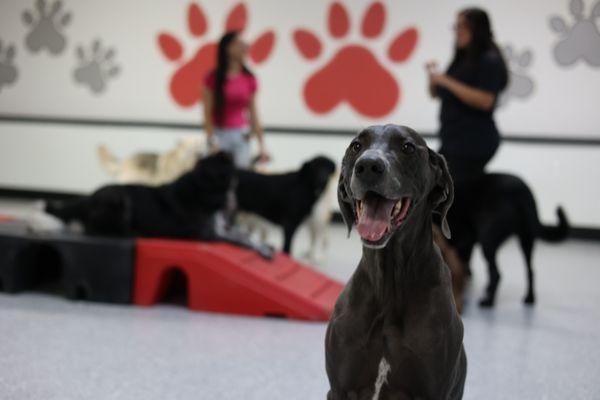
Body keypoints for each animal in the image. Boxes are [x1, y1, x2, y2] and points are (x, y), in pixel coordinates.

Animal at [47, 152, 272, 258]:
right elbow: (241, 240)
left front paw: (264, 245)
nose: (226, 152)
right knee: (95, 229)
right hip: (120, 198)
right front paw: (260, 249)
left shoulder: (220, 229)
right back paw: (134, 234)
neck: (202, 191)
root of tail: (88, 198)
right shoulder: (207, 235)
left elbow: (244, 235)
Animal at [446, 172, 568, 306]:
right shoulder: (465, 243)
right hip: (526, 239)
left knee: (496, 274)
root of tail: (522, 192)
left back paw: (488, 301)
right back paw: (529, 298)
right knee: (530, 271)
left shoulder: (463, 241)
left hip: (487, 240)